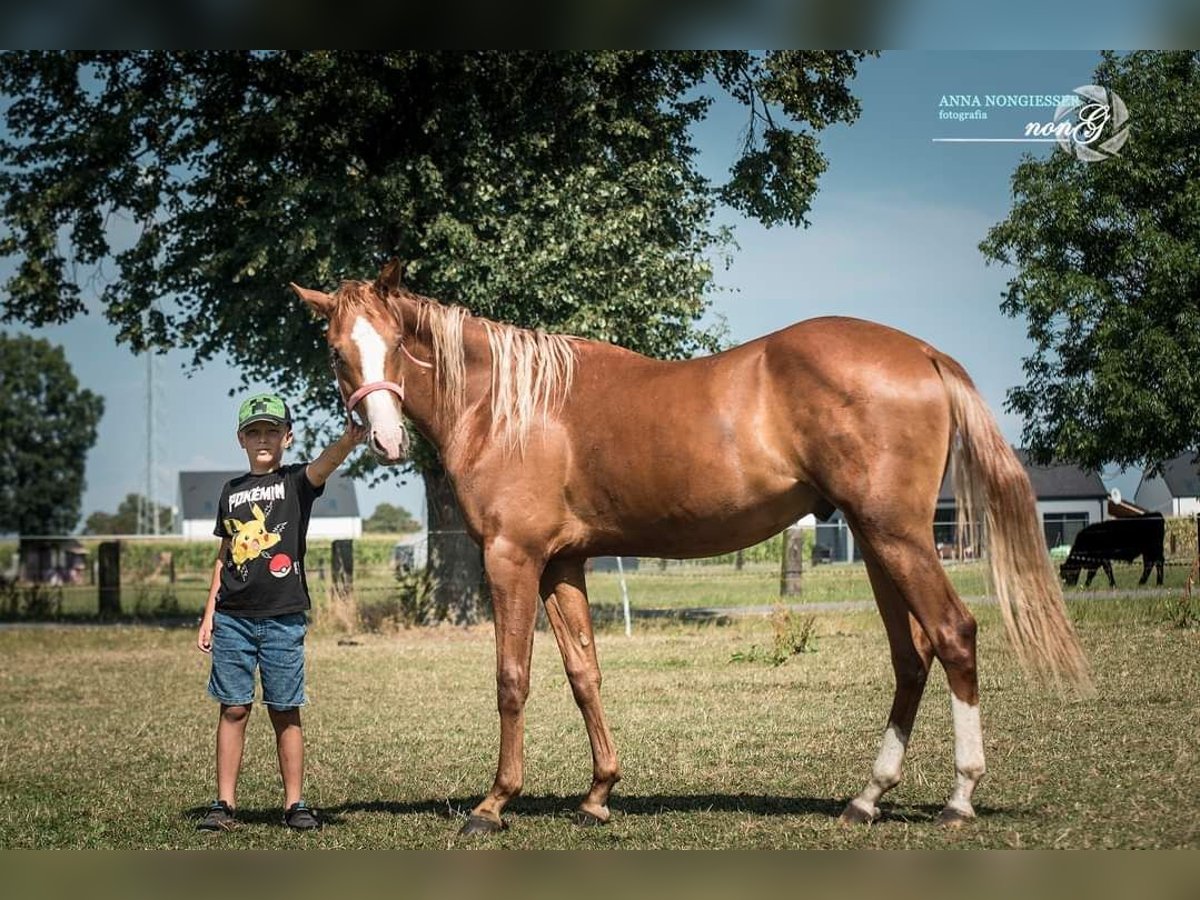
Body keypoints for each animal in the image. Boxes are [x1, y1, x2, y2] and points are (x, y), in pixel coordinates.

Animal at [295, 262, 1094, 840]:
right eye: (337, 351)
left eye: (397, 344)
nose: (386, 439)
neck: (510, 407)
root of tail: (921, 352)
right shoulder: (564, 564)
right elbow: (585, 674)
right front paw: (599, 794)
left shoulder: (513, 559)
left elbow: (511, 679)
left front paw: (493, 805)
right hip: (877, 544)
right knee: (912, 656)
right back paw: (866, 798)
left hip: (897, 538)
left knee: (954, 636)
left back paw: (959, 797)